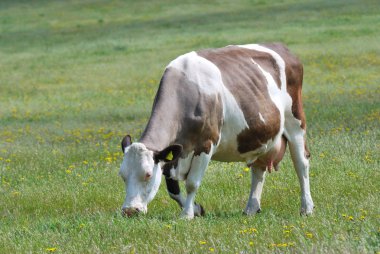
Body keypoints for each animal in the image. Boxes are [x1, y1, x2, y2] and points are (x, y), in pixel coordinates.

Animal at [119, 43, 314, 218]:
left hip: (295, 123)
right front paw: (197, 209)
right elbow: (172, 189)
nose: (129, 211)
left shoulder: (206, 144)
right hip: (260, 135)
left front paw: (187, 214)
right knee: (258, 170)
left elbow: (192, 183)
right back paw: (251, 208)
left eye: (147, 174)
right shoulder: (174, 153)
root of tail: (282, 48)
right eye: (122, 175)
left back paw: (307, 208)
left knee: (301, 164)